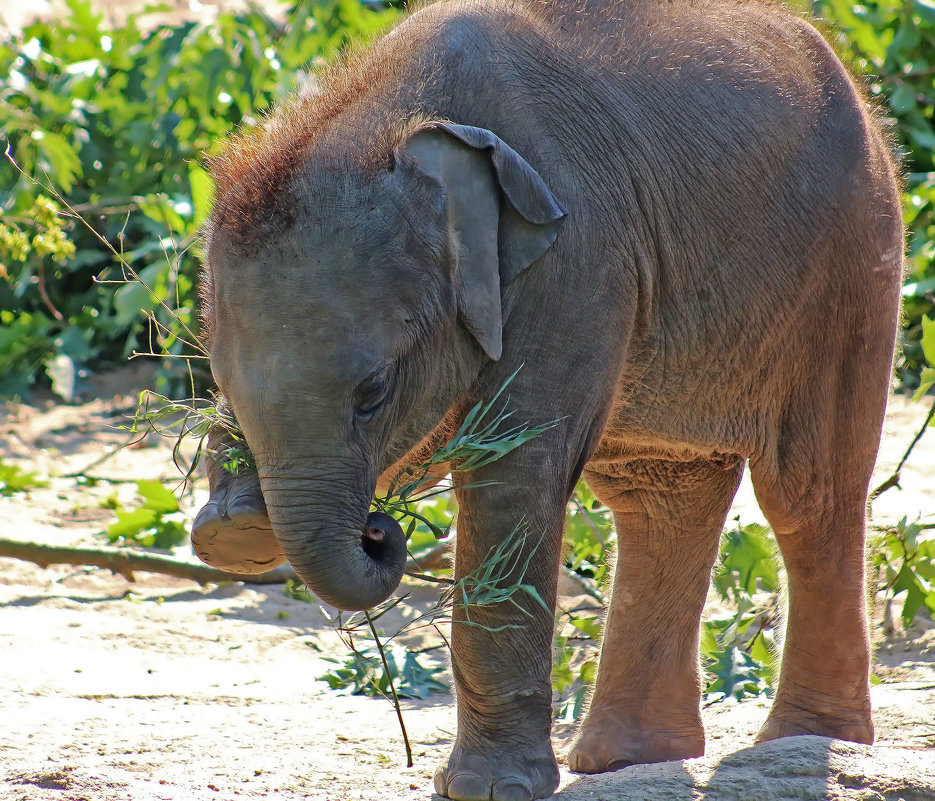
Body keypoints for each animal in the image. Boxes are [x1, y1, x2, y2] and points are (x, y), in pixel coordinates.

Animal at [192, 1, 908, 800]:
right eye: (217, 380)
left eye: (372, 393)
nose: (378, 528)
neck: (390, 119)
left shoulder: (574, 260)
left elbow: (512, 479)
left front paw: (489, 790)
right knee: (660, 498)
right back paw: (623, 759)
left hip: (852, 262)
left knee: (808, 492)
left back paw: (805, 740)